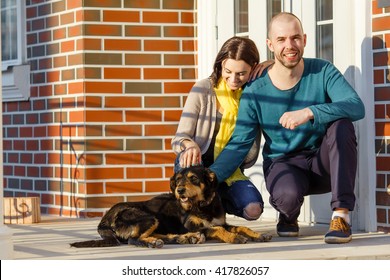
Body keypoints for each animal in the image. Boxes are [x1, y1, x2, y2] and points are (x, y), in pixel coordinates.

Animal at [70, 165, 272, 248]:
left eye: (193, 178)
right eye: (178, 180)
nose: (179, 191)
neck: (202, 205)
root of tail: (105, 218)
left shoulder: (221, 222)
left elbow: (241, 227)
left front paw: (258, 235)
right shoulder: (195, 225)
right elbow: (217, 230)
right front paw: (235, 238)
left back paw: (183, 238)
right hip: (148, 217)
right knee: (133, 239)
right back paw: (156, 242)